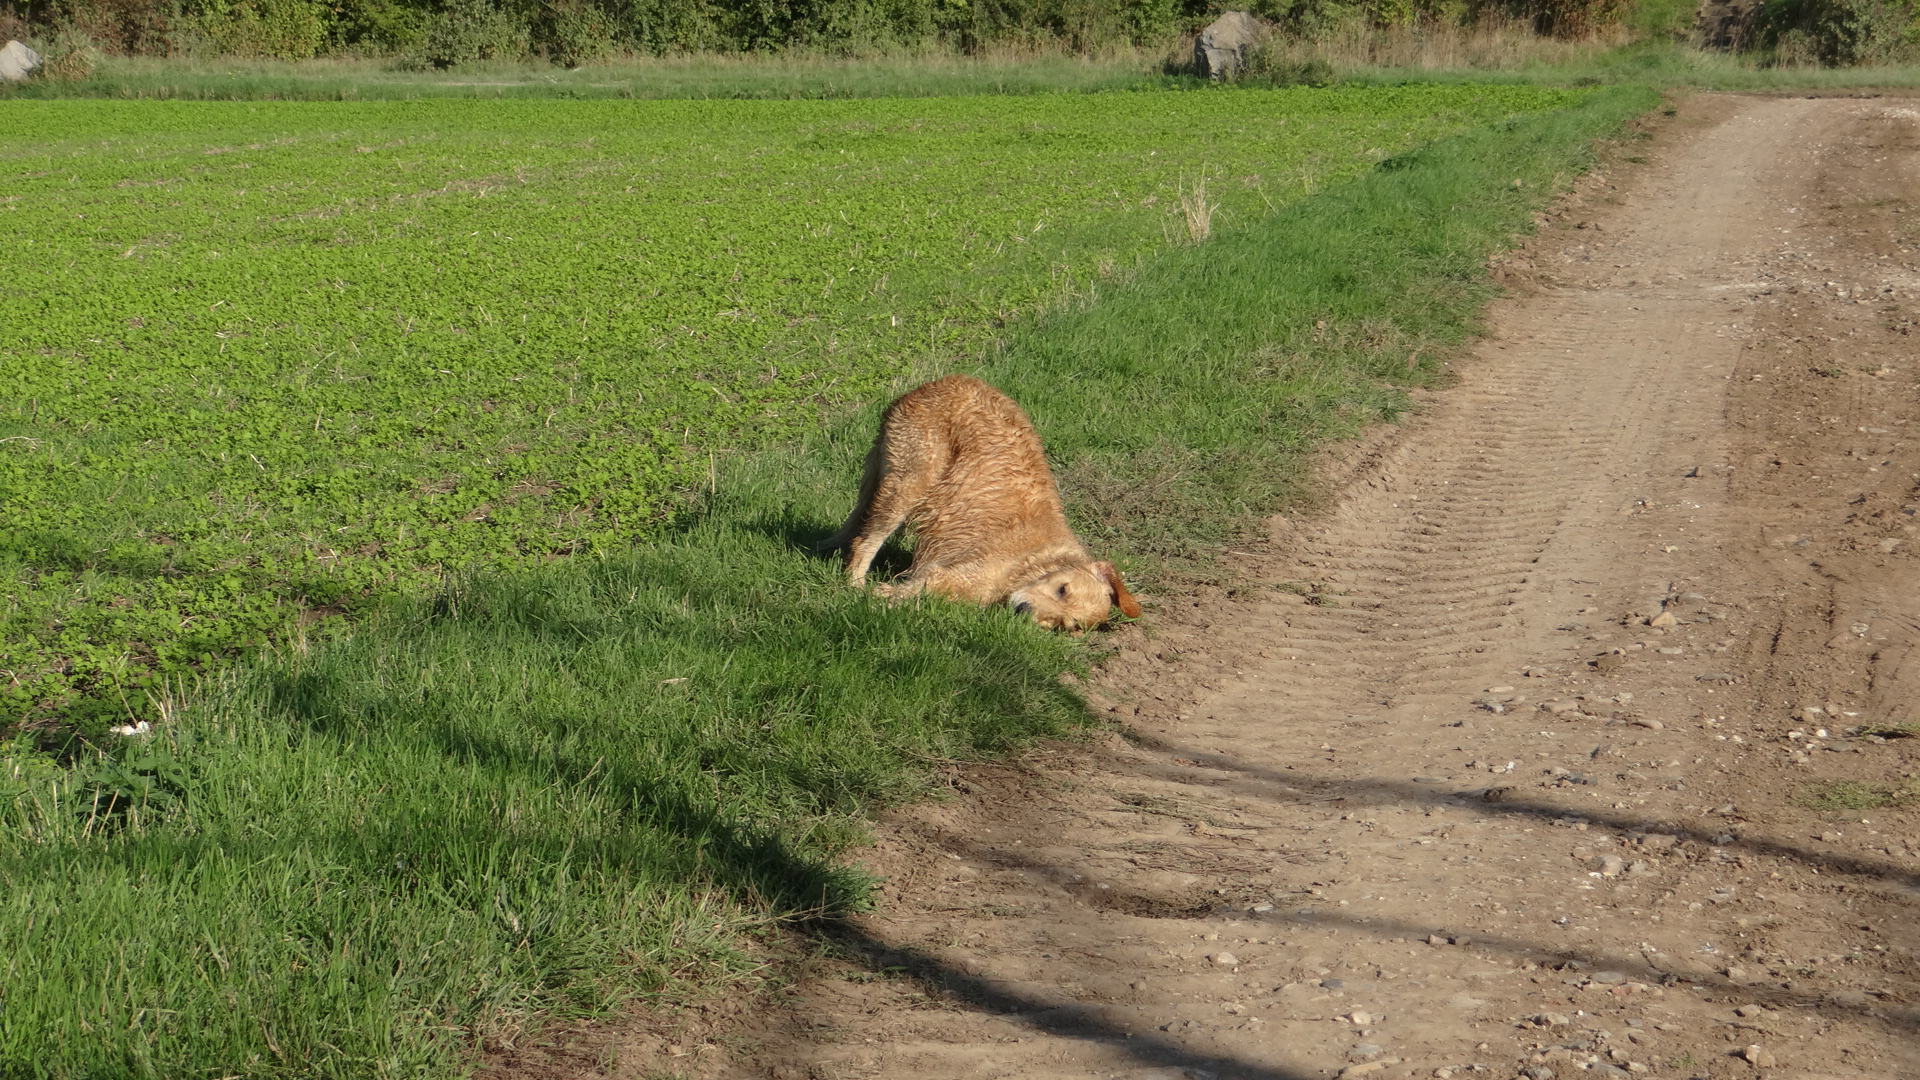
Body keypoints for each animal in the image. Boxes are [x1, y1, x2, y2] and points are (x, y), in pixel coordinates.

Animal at [814, 374, 1136, 626]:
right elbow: (920, 587)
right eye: (1063, 589)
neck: (1032, 561)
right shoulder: (957, 574)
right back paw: (854, 583)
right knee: (864, 540)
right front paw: (879, 595)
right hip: (910, 480)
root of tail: (941, 381)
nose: (1023, 611)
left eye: (1065, 624)